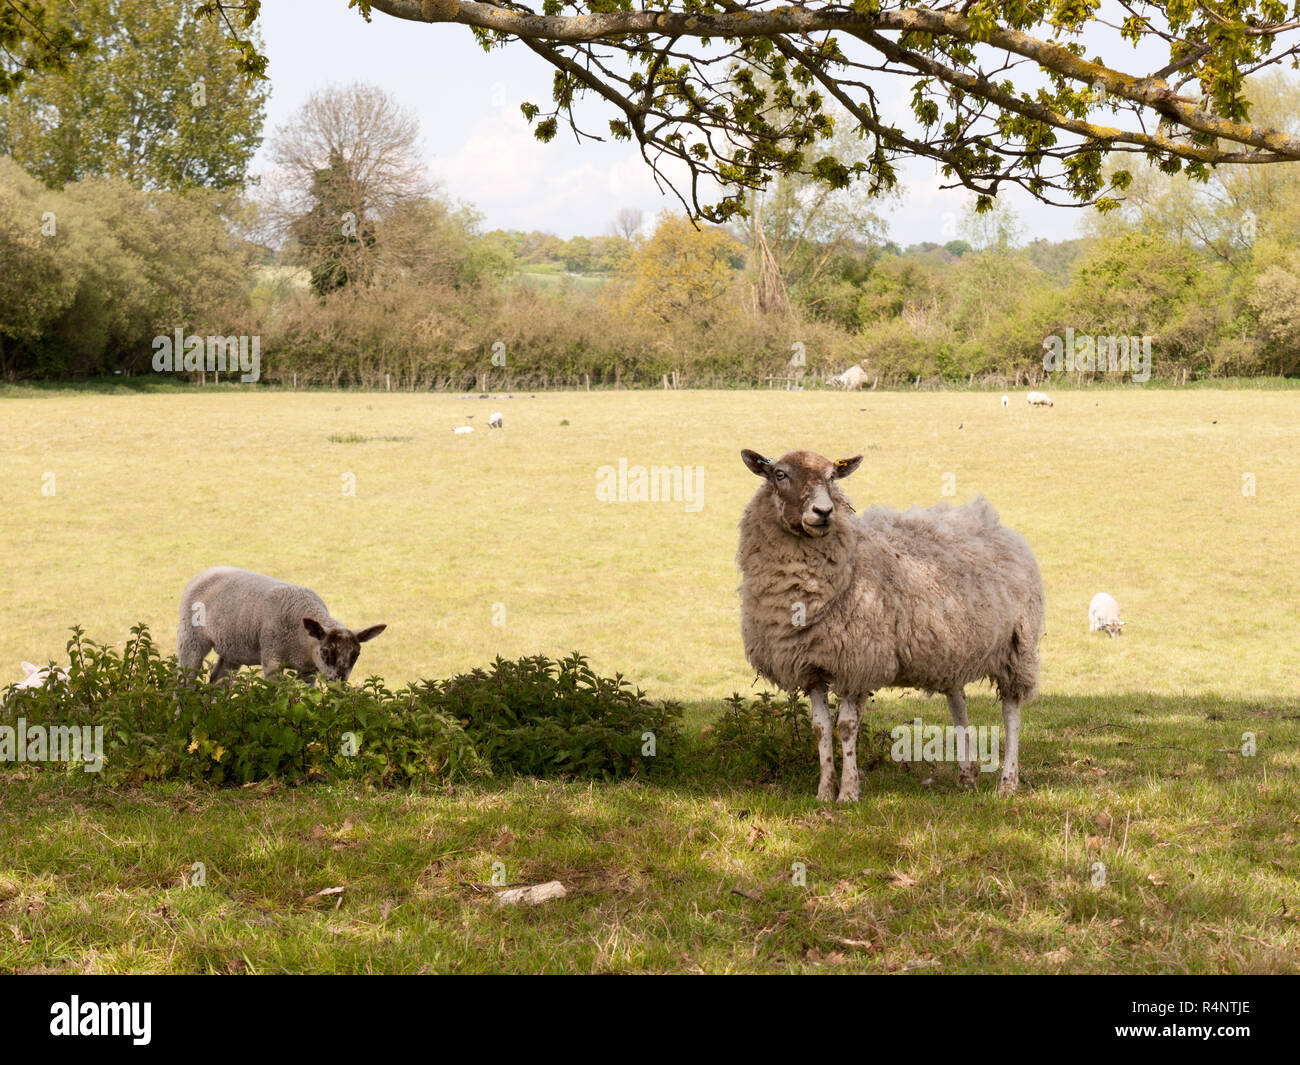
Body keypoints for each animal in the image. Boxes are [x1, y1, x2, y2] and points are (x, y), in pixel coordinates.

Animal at [733, 449, 1045, 801]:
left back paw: (1008, 782)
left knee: (1011, 711)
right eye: (780, 474)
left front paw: (849, 793)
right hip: (952, 647)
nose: (823, 512)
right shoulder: (811, 665)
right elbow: (820, 729)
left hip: (1017, 647)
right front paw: (825, 792)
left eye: (831, 476)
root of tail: (992, 521)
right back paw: (967, 777)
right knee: (958, 705)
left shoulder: (859, 662)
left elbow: (846, 728)